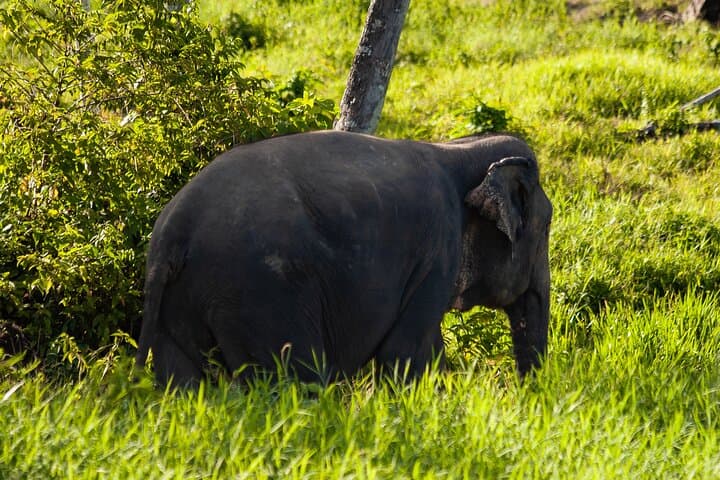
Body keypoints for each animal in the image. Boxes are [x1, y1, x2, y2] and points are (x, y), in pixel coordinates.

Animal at [135, 130, 553, 386]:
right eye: (546, 227)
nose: (524, 396)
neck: (458, 147)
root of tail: (171, 235)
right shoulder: (437, 252)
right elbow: (406, 353)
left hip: (182, 303)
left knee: (185, 384)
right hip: (260, 294)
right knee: (295, 381)